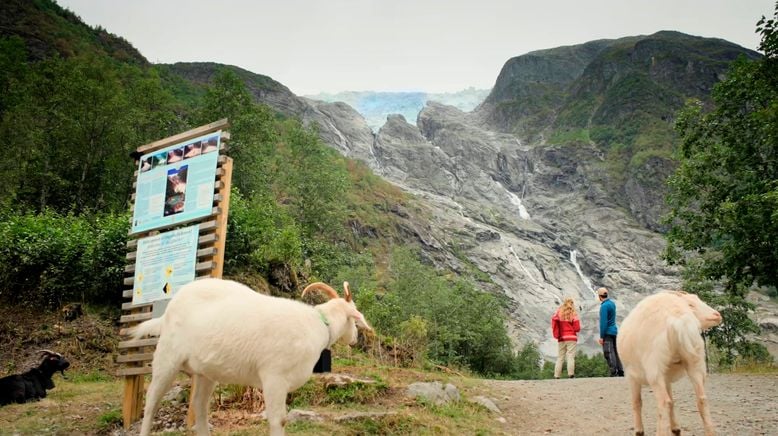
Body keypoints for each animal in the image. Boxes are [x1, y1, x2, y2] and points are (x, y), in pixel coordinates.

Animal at [126, 280, 370, 436]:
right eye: (355, 321)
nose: (355, 339)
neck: (318, 324)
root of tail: (168, 310)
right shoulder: (274, 377)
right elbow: (278, 419)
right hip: (167, 357)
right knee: (152, 401)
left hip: (206, 371)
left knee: (200, 406)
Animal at [620, 290, 720, 436]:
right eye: (691, 304)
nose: (717, 315)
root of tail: (678, 319)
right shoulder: (666, 377)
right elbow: (672, 401)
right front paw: (675, 428)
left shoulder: (631, 376)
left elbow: (637, 402)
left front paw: (639, 431)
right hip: (695, 361)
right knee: (701, 399)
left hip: (654, 369)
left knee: (663, 402)